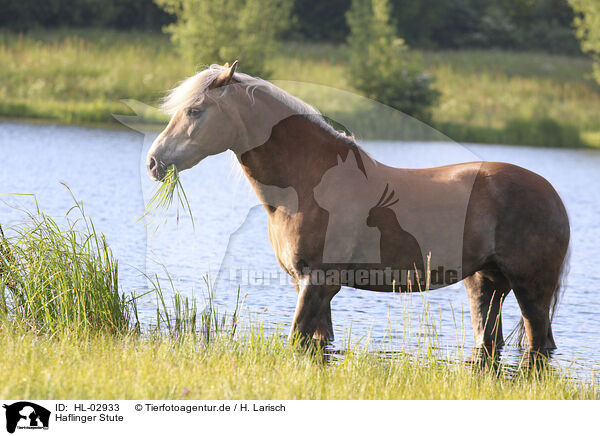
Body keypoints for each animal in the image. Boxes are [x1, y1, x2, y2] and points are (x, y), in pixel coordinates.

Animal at [146, 60, 572, 354]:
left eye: (195, 111)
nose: (154, 162)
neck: (308, 185)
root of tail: (552, 193)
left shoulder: (318, 283)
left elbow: (295, 339)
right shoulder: (310, 287)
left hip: (532, 289)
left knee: (539, 345)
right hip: (486, 284)